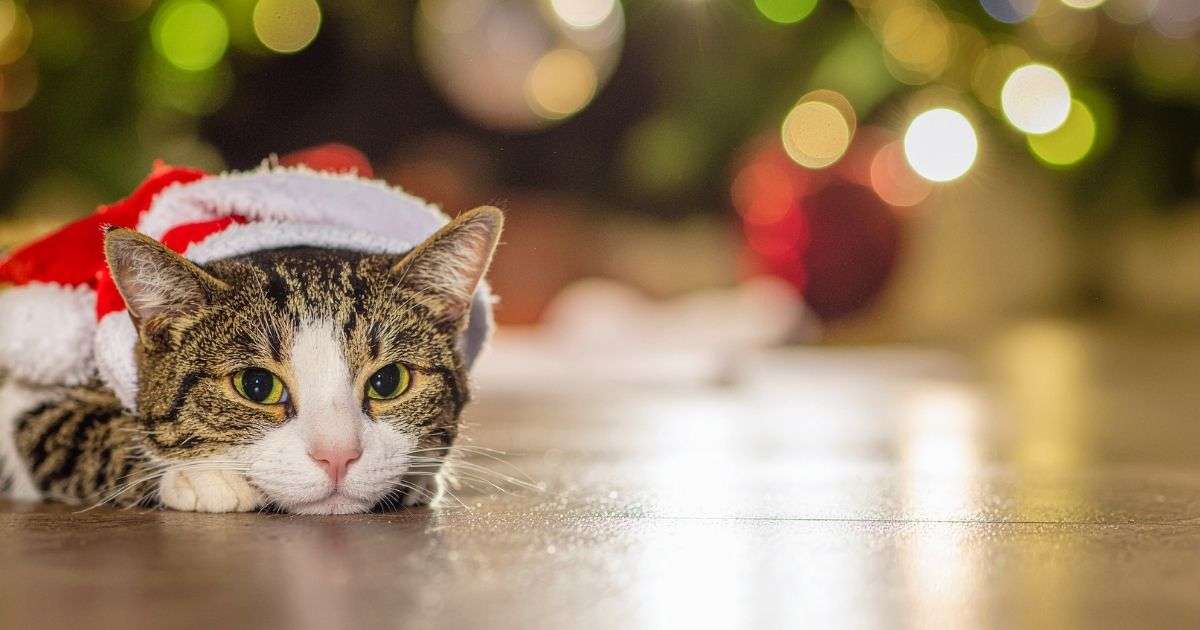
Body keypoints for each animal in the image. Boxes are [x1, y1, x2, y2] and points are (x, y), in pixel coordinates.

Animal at [0, 206, 502, 514]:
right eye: (257, 386)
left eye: (388, 381)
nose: (337, 457)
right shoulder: (35, 402)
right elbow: (91, 436)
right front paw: (201, 476)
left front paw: (417, 476)